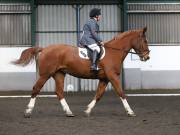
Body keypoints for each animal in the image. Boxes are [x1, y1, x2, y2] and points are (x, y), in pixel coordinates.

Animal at [13, 26, 150, 117]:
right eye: (145, 41)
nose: (147, 57)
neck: (114, 51)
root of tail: (44, 49)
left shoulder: (104, 78)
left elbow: (98, 95)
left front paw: (88, 110)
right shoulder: (112, 76)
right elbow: (121, 93)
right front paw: (130, 111)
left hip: (59, 74)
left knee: (59, 92)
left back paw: (68, 112)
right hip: (45, 74)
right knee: (36, 89)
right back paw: (28, 111)